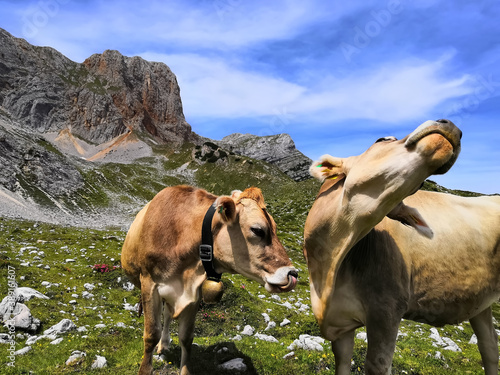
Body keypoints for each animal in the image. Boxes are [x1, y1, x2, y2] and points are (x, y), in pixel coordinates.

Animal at [121, 187, 298, 375]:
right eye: (258, 230)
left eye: (275, 228)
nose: (293, 273)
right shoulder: (149, 284)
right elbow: (151, 334)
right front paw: (145, 369)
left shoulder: (194, 292)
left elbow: (186, 337)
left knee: (168, 315)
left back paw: (165, 344)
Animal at [302, 119, 462, 374]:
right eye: (381, 139)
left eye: (420, 184)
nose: (452, 125)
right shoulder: (340, 326)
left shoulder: (387, 309)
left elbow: (377, 363)